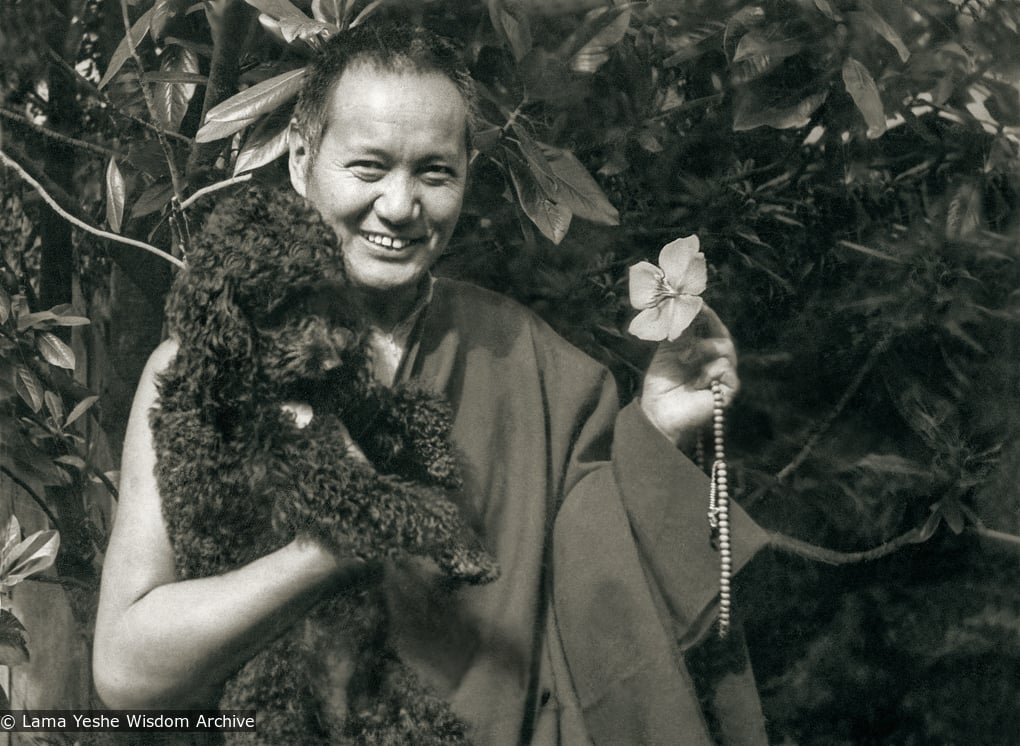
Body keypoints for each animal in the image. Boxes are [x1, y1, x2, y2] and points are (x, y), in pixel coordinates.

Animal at [149, 183, 497, 742]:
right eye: (276, 307)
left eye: (327, 296)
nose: (333, 360)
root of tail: (340, 714)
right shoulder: (319, 477)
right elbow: (414, 505)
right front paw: (466, 549)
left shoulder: (348, 418)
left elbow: (404, 402)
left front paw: (438, 454)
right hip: (272, 688)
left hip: (403, 698)